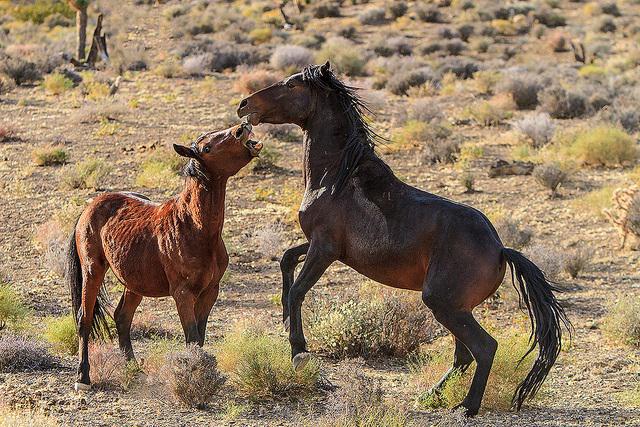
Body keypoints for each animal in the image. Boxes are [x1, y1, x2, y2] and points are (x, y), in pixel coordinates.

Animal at [65, 123, 262, 392]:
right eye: (207, 148)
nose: (242, 128)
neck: (194, 226)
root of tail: (90, 206)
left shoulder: (210, 292)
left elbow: (199, 337)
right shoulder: (183, 294)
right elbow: (191, 337)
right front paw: (193, 379)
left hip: (134, 283)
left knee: (122, 317)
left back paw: (134, 369)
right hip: (92, 271)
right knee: (84, 319)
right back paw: (83, 378)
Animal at [239, 63, 568, 418]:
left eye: (290, 85)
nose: (244, 105)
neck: (336, 178)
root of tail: (500, 250)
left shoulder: (324, 248)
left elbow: (298, 290)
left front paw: (299, 353)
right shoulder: (323, 246)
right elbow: (287, 259)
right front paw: (286, 319)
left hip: (444, 304)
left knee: (483, 348)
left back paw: (466, 407)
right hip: (455, 307)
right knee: (463, 354)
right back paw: (430, 396)